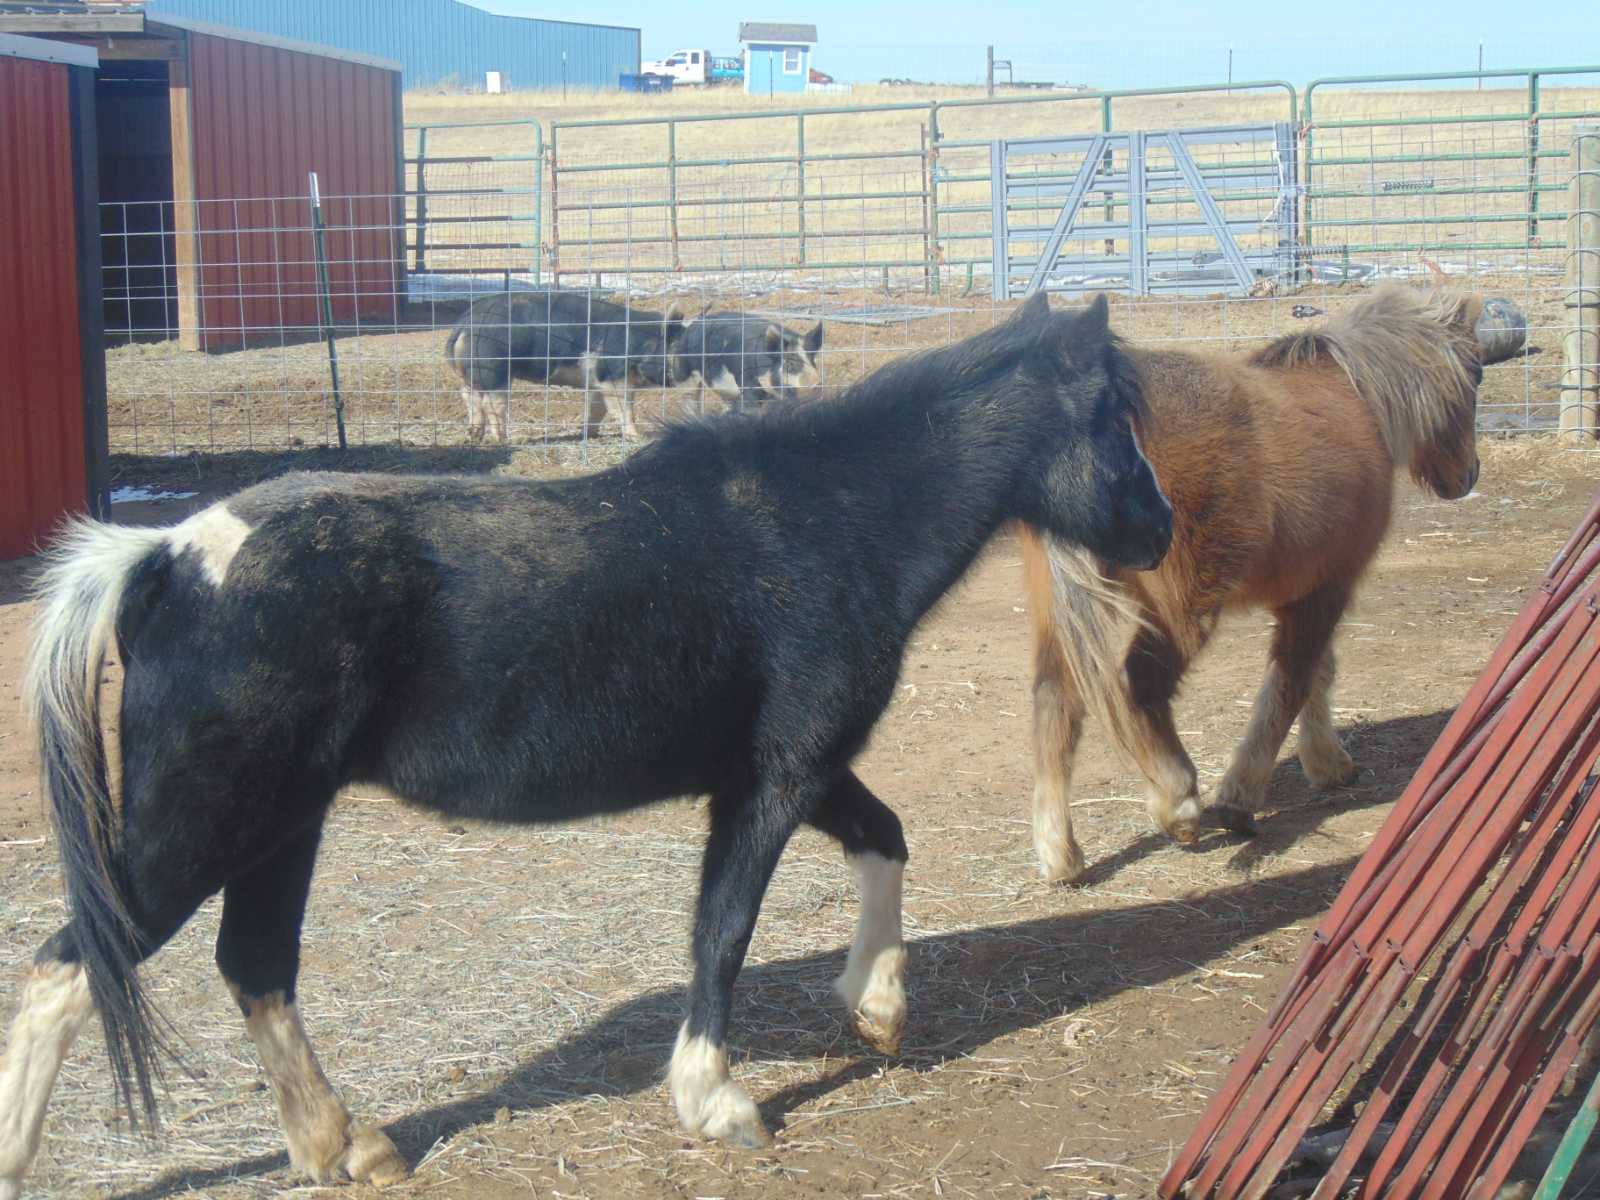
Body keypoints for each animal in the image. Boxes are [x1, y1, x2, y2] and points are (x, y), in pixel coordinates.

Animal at [3, 294, 1177, 1196]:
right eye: (1114, 419)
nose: (1160, 527)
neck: (828, 518)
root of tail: (166, 555)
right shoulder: (772, 781)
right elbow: (722, 931)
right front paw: (718, 1100)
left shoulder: (795, 771)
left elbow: (884, 839)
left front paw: (879, 1010)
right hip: (200, 829)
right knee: (70, 967)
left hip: (279, 825)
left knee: (254, 968)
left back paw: (347, 1147)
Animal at [1024, 284, 1484, 883]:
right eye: (1476, 372)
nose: (1467, 476)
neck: (1353, 395)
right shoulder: (1329, 587)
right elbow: (1290, 684)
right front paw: (1240, 798)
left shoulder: (1308, 589)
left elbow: (1319, 673)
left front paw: (1328, 763)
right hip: (1182, 611)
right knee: (1141, 685)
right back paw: (1178, 802)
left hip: (1062, 611)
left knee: (1055, 698)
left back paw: (1060, 853)